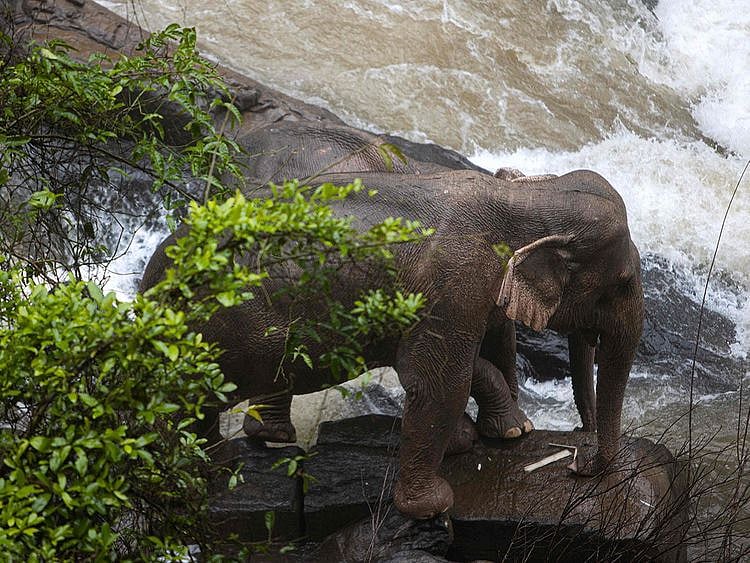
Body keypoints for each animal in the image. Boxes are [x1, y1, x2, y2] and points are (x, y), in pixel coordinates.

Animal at [139, 168, 644, 519]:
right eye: (622, 283)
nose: (577, 463)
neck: (527, 198)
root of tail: (151, 279)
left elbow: (459, 363)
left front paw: (494, 435)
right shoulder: (454, 283)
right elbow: (437, 381)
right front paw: (435, 505)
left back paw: (254, 445)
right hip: (227, 328)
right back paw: (207, 470)